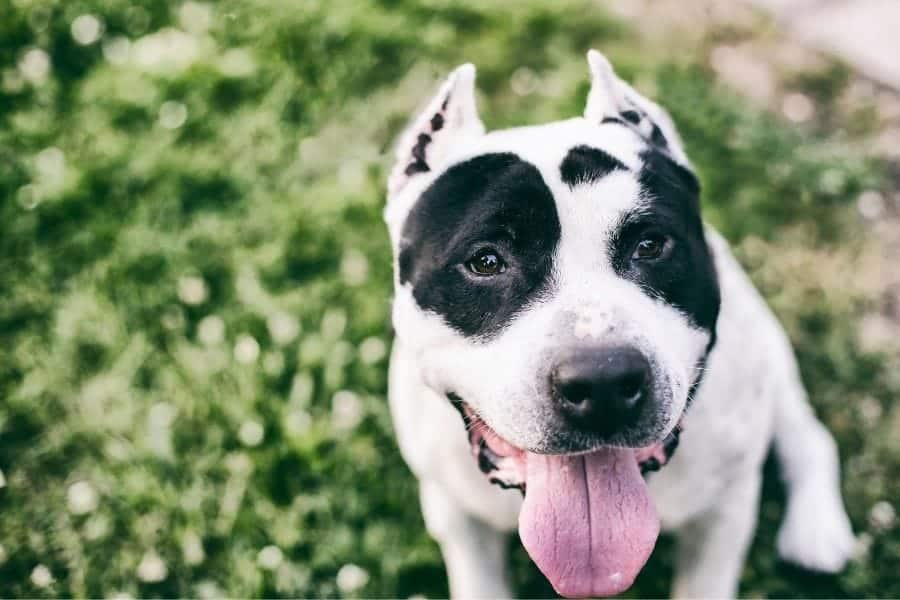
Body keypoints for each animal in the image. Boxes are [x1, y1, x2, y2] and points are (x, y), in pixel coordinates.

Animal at [382, 50, 856, 596]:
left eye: (650, 245)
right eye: (485, 261)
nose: (602, 382)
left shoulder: (724, 511)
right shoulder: (456, 512)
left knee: (808, 434)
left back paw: (816, 528)